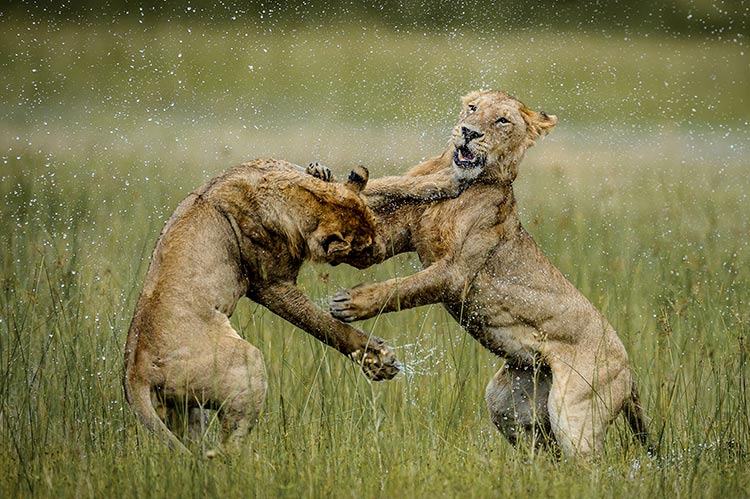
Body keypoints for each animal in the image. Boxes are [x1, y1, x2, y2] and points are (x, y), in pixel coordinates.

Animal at [123, 158, 468, 453]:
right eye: (361, 248)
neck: (293, 196)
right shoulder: (270, 285)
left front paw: (449, 180)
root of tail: (133, 371)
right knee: (225, 448)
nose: (377, 253)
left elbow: (390, 184)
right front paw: (375, 358)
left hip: (187, 410)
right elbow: (324, 325)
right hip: (246, 363)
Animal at [329, 91, 650, 459]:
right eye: (473, 108)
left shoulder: (454, 274)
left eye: (502, 120)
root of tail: (629, 368)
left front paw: (350, 303)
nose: (469, 132)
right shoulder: (392, 237)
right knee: (543, 453)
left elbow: (402, 288)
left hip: (575, 413)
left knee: (594, 462)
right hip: (505, 398)